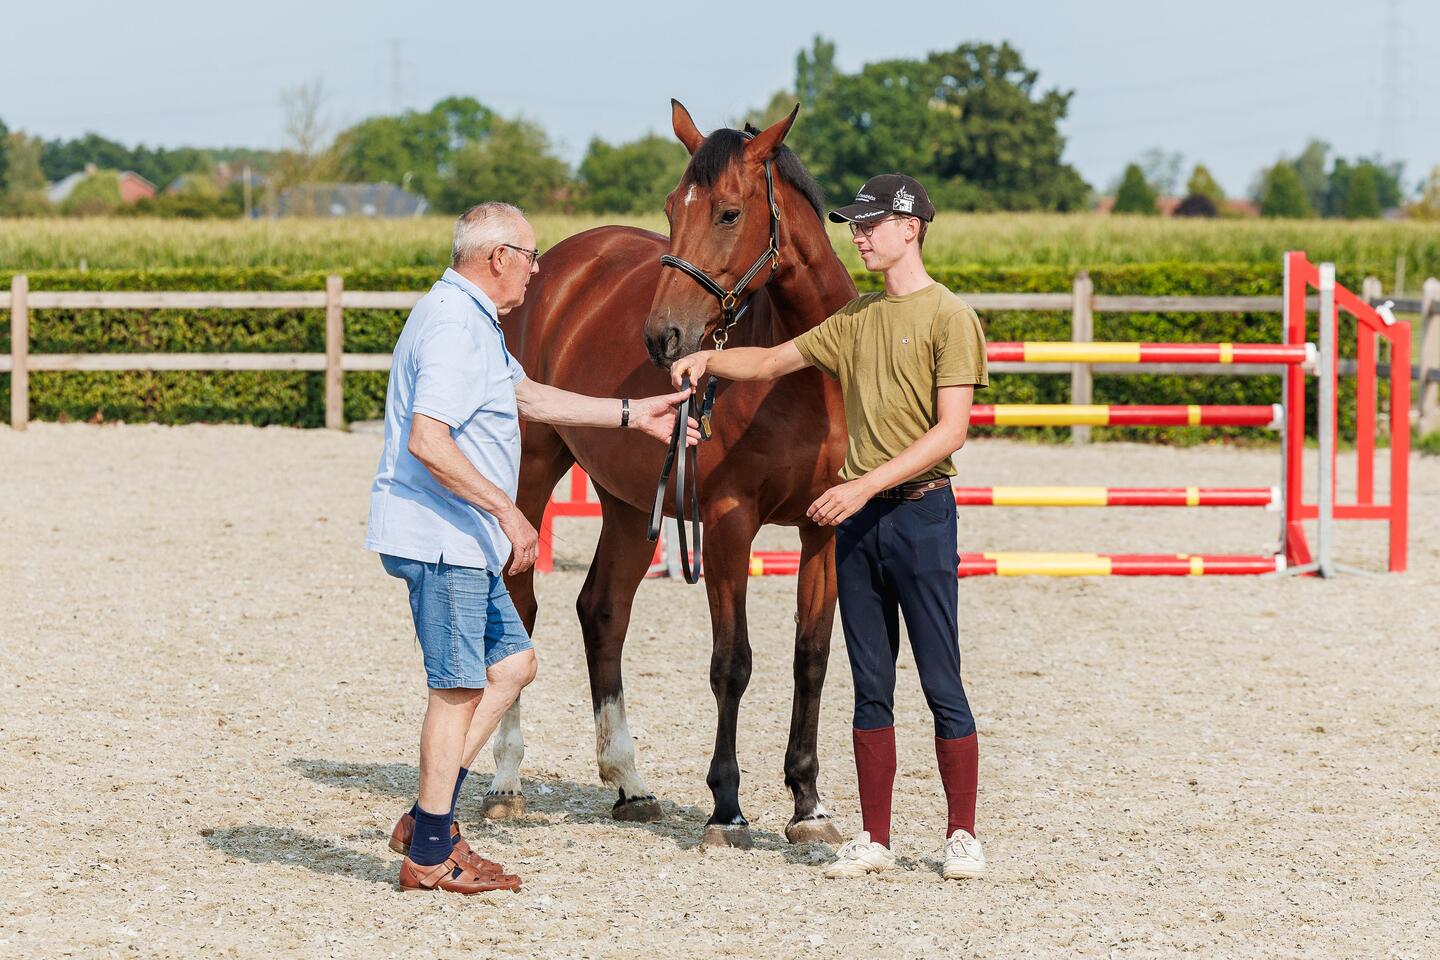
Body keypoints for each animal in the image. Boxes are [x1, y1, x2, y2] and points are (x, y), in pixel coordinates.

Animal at [486, 101, 857, 848]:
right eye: (669, 207)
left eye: (730, 213)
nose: (663, 338)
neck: (800, 373)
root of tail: (561, 266)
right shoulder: (728, 522)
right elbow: (732, 662)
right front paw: (727, 807)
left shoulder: (822, 527)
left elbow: (811, 657)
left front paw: (808, 805)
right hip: (532, 472)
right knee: (522, 603)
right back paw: (506, 780)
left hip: (632, 502)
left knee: (603, 611)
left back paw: (629, 783)